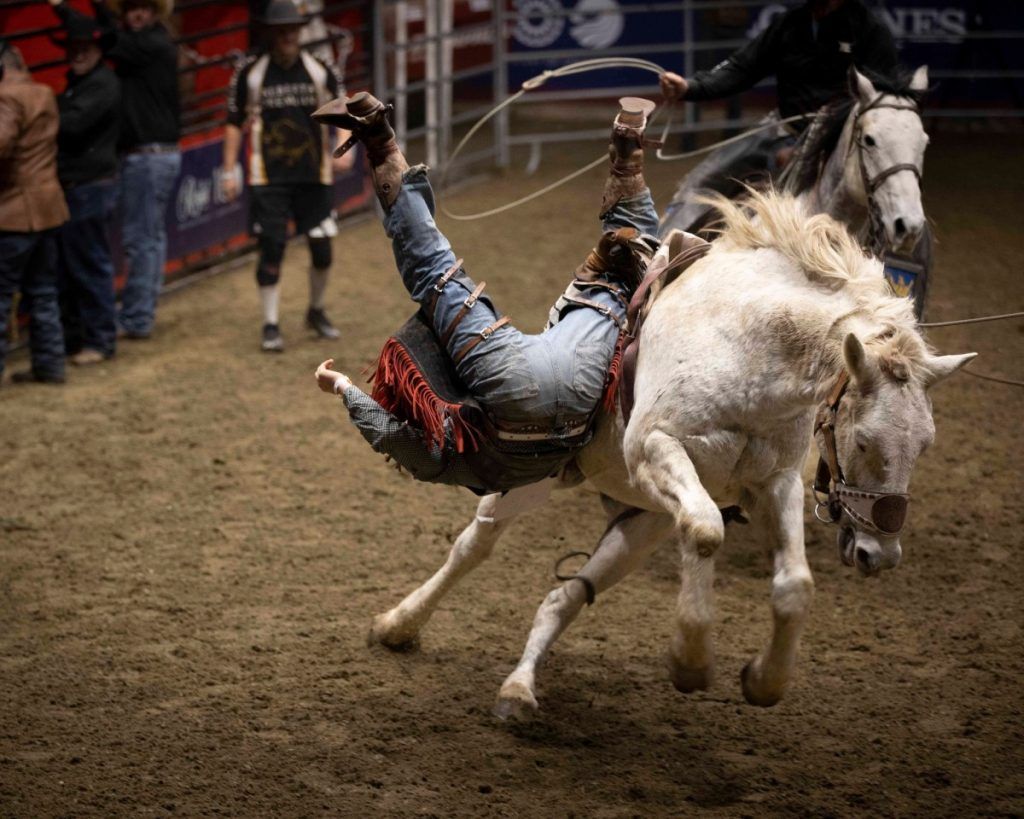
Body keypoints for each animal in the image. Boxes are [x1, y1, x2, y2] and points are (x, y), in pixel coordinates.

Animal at [366, 187, 966, 716]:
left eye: (926, 444)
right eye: (863, 439)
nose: (880, 554)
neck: (748, 347)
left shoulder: (774, 484)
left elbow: (794, 583)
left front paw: (763, 680)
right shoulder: (657, 447)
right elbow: (705, 532)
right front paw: (690, 663)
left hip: (642, 519)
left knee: (564, 596)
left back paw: (518, 689)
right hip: (536, 478)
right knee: (473, 547)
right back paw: (398, 625)